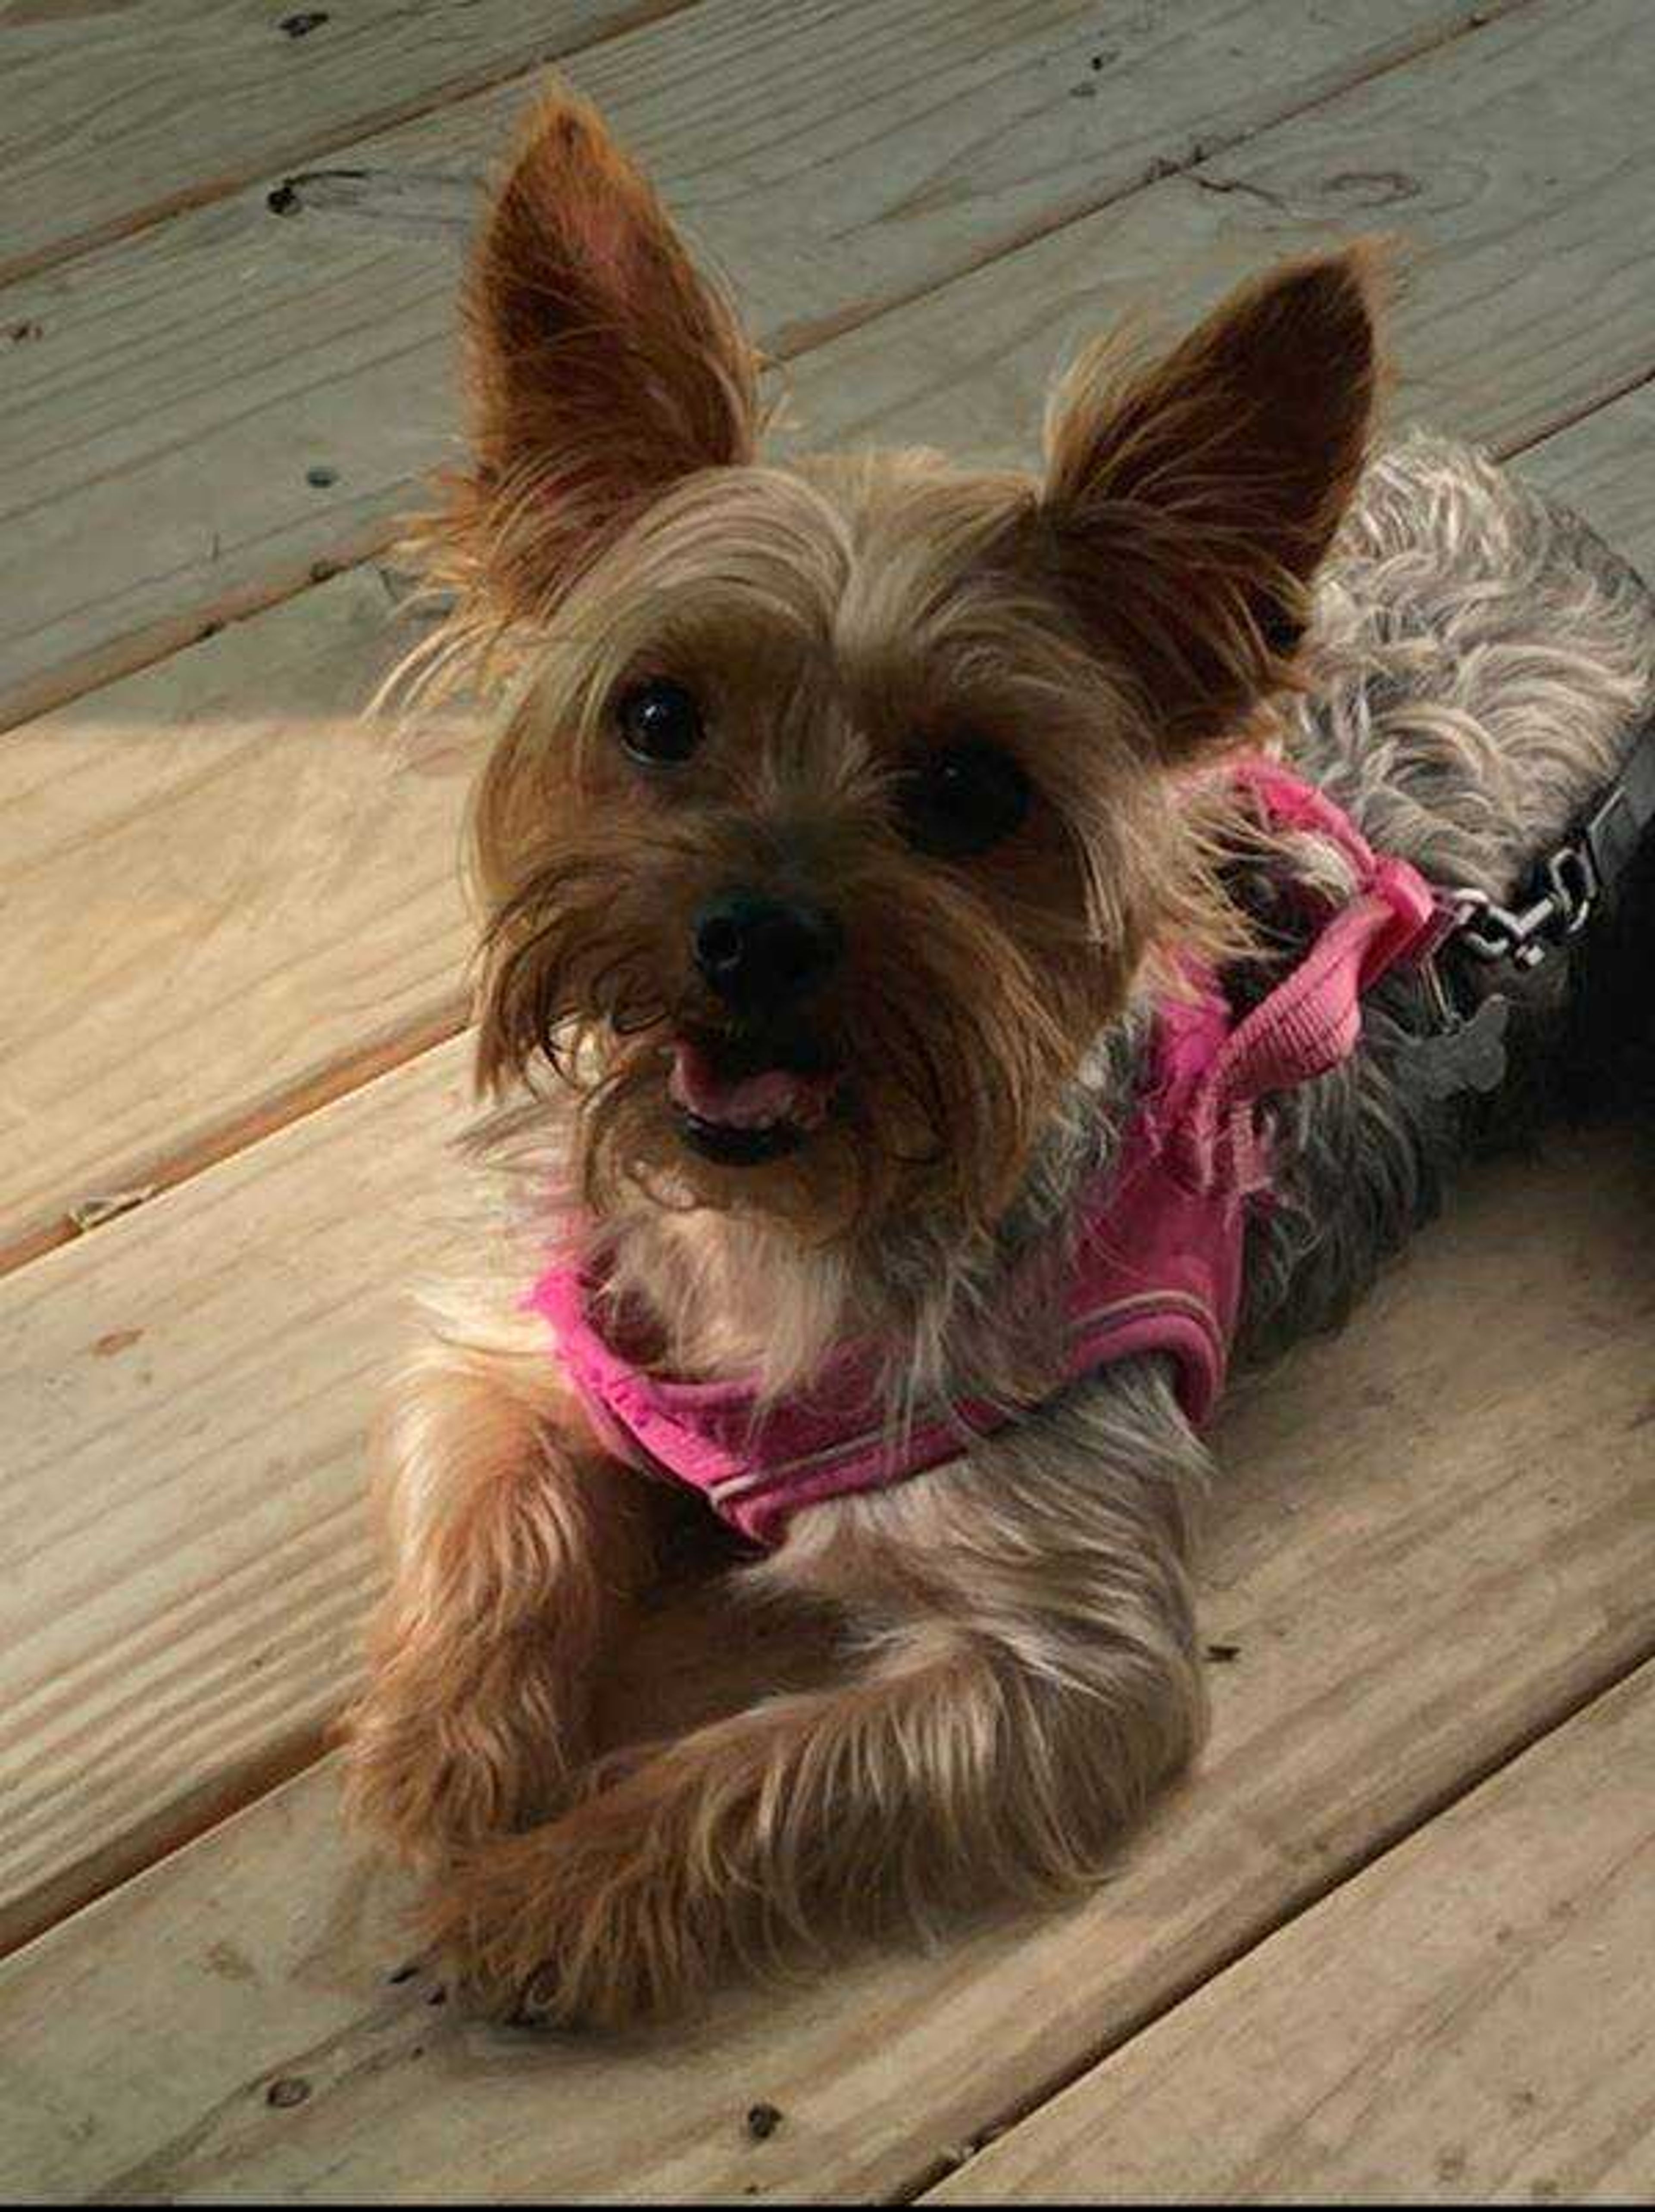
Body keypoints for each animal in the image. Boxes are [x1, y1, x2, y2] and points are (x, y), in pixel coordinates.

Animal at [338, 81, 1655, 2026]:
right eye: (656, 714)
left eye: (972, 789)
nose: (755, 931)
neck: (798, 1216)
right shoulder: (546, 1341)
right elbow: (494, 1496)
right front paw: (446, 1753)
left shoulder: (1056, 1656)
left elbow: (770, 1773)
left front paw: (548, 1892)